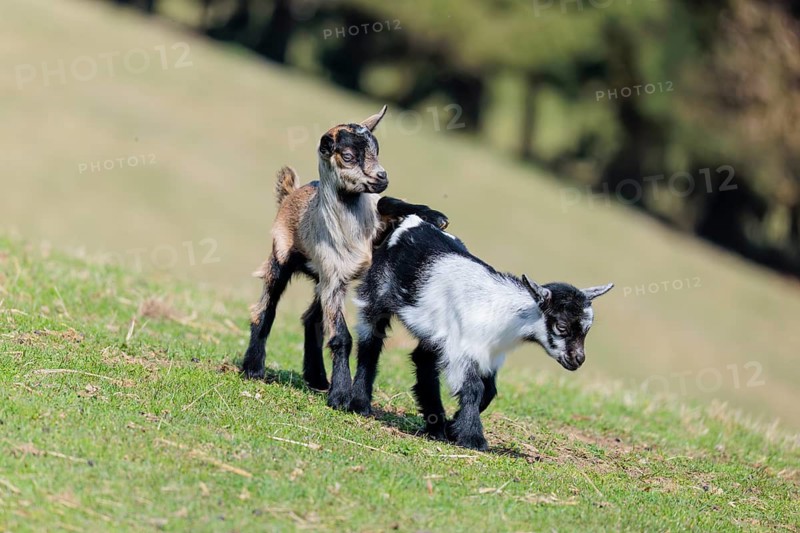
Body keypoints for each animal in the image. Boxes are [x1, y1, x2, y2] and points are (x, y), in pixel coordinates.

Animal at [241, 107, 448, 410]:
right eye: (348, 156)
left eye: (377, 149)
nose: (382, 177)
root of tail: (291, 194)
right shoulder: (335, 278)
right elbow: (341, 336)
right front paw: (340, 395)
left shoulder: (364, 247)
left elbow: (387, 202)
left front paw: (436, 216)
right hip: (283, 258)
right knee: (265, 309)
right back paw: (253, 368)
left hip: (320, 279)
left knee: (310, 318)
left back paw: (316, 377)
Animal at [350, 215, 614, 450]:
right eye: (562, 327)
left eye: (587, 330)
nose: (578, 359)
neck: (500, 311)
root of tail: (412, 221)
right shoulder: (461, 350)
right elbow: (474, 388)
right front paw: (472, 438)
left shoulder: (490, 355)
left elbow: (489, 391)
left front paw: (454, 427)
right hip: (375, 295)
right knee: (370, 343)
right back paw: (360, 403)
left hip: (435, 333)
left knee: (423, 360)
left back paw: (436, 426)